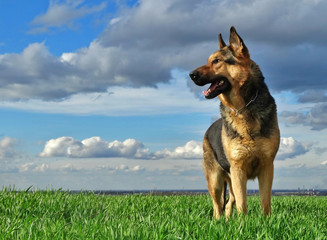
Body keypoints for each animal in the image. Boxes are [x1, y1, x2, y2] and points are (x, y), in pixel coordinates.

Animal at [190, 27, 282, 218]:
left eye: (216, 61)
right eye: (208, 60)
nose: (191, 75)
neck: (242, 108)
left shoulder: (267, 167)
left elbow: (265, 202)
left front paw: (266, 221)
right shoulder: (238, 170)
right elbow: (242, 204)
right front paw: (243, 223)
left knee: (227, 204)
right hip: (216, 181)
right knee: (217, 205)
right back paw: (218, 221)